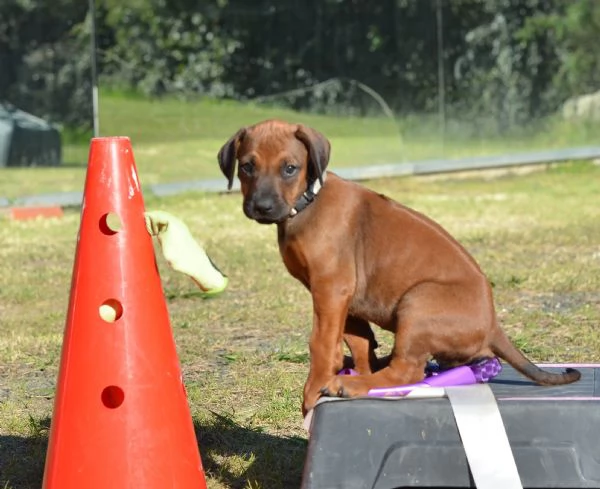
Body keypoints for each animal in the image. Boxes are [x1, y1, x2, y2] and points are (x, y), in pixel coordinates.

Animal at [218, 118, 580, 416]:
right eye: (247, 167)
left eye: (290, 168)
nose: (262, 207)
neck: (307, 203)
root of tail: (493, 325)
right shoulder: (345, 298)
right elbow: (359, 341)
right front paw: (357, 366)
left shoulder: (331, 288)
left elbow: (321, 343)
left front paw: (316, 386)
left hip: (419, 302)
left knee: (408, 370)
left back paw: (350, 384)